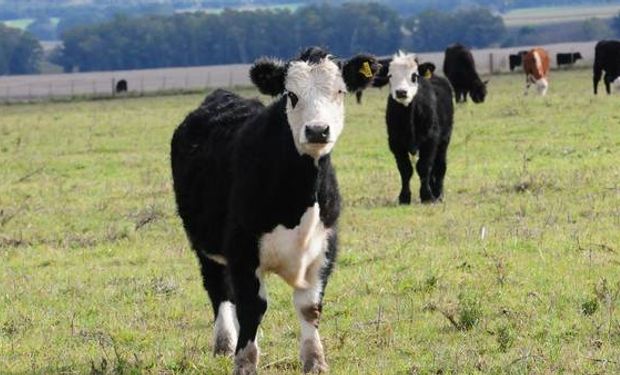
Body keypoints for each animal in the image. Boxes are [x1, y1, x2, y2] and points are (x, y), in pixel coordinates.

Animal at [172, 47, 380, 375]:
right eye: (291, 95)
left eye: (340, 91)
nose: (317, 130)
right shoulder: (242, 249)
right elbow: (251, 306)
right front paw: (244, 362)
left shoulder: (326, 246)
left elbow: (309, 307)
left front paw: (315, 360)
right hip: (203, 243)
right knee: (218, 289)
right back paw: (224, 343)